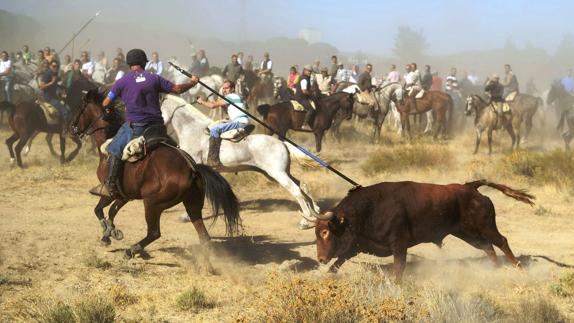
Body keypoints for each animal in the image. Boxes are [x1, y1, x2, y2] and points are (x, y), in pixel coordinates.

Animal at [70, 90, 241, 260]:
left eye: (81, 108)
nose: (72, 128)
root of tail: (193, 169)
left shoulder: (110, 192)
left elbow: (99, 209)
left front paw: (108, 232)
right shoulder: (125, 195)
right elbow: (112, 211)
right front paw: (108, 233)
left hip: (153, 204)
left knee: (154, 232)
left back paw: (132, 250)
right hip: (192, 204)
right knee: (203, 235)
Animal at [161, 95, 324, 229]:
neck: (192, 130)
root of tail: (282, 143)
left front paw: (186, 216)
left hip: (278, 174)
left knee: (296, 191)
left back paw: (306, 219)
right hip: (276, 173)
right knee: (301, 185)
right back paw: (313, 213)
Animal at [316, 180, 536, 280]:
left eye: (326, 232)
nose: (320, 258)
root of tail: (471, 187)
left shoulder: (399, 244)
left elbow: (399, 266)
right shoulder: (359, 245)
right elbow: (340, 260)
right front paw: (328, 273)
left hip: (486, 226)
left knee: (501, 241)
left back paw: (518, 267)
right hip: (466, 233)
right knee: (487, 247)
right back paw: (494, 270)